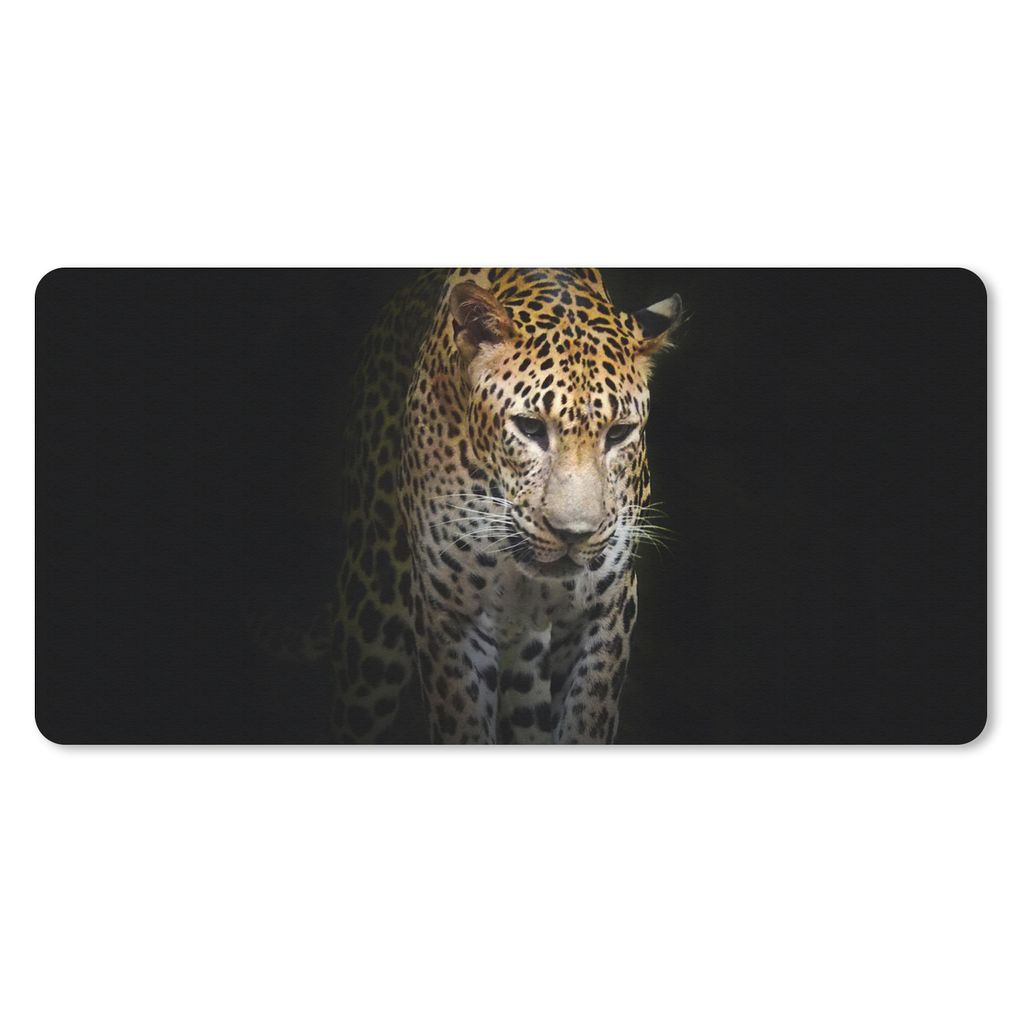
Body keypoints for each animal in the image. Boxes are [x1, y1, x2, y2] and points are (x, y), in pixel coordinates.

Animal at [329, 268, 682, 743]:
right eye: (530, 428)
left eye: (618, 433)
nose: (574, 534)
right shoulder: (449, 613)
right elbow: (462, 725)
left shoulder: (605, 612)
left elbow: (587, 720)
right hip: (373, 619)